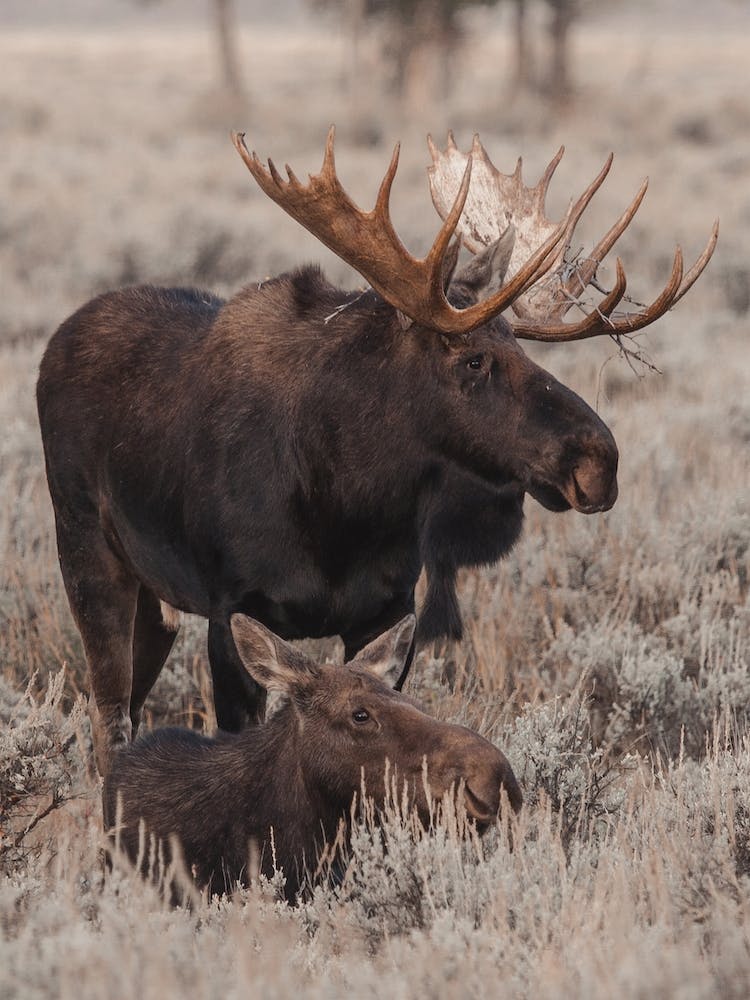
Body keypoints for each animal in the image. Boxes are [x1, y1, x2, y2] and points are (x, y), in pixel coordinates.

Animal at [36, 127, 718, 779]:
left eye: (522, 350)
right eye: (474, 360)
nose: (599, 461)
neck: (344, 507)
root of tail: (55, 343)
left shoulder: (388, 610)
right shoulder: (231, 613)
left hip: (155, 600)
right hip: (86, 551)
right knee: (109, 716)